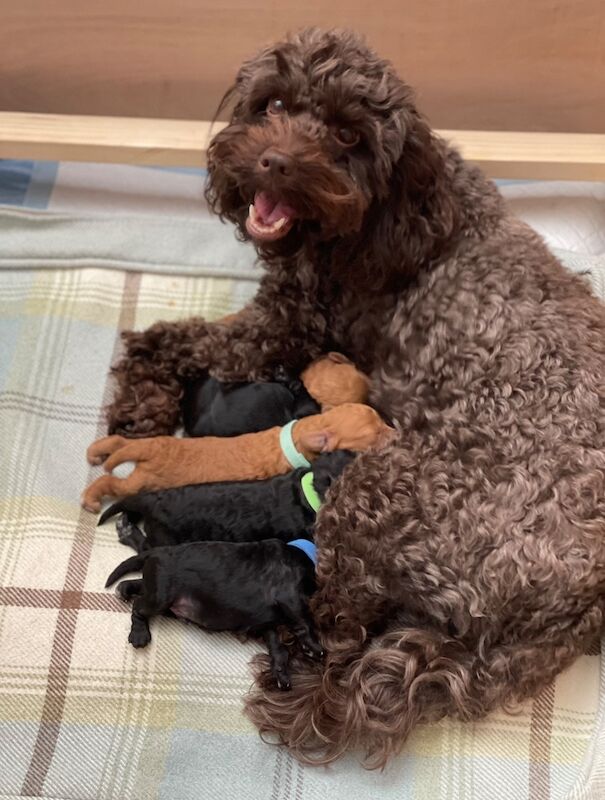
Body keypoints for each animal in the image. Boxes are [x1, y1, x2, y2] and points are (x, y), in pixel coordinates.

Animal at [105, 536, 320, 688]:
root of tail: (156, 551)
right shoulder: (289, 596)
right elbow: (305, 620)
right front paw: (315, 647)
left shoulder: (268, 622)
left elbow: (277, 645)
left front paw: (281, 673)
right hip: (160, 595)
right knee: (139, 607)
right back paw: (139, 634)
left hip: (159, 592)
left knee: (139, 584)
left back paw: (124, 589)